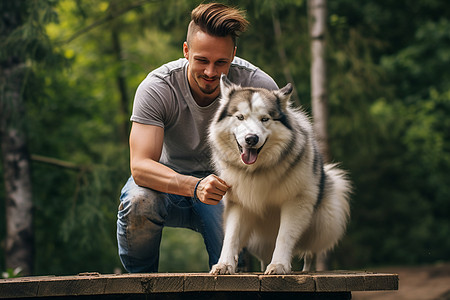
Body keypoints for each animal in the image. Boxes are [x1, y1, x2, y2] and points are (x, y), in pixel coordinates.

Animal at [207, 75, 352, 274]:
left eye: (265, 119)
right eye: (240, 117)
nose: (251, 139)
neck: (257, 171)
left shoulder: (296, 202)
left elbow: (284, 236)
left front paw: (279, 265)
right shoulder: (238, 204)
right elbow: (231, 236)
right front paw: (224, 264)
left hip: (323, 222)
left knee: (309, 252)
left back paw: (306, 271)